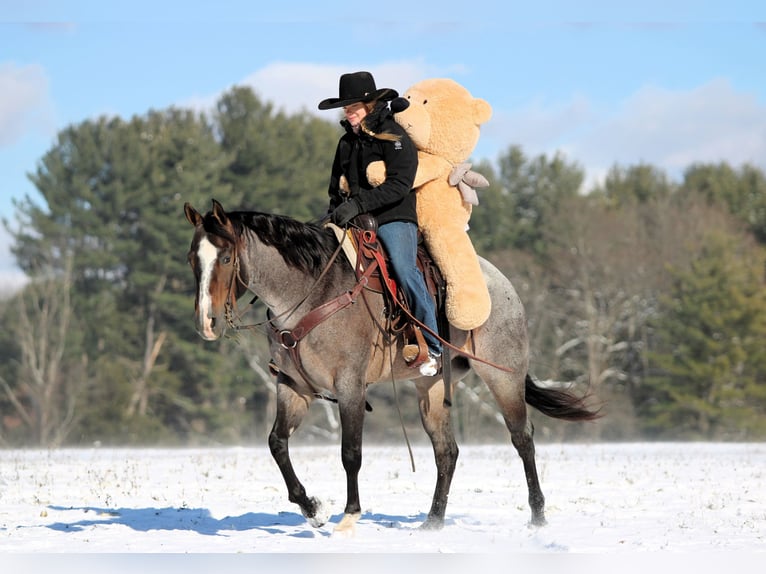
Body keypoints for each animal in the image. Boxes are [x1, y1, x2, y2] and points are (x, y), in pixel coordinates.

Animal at [183, 198, 600, 533]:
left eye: (225, 257)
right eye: (192, 260)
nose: (207, 323)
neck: (311, 293)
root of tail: (503, 284)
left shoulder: (350, 386)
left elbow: (350, 453)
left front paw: (350, 514)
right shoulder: (293, 386)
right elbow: (277, 444)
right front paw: (312, 509)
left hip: (503, 375)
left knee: (522, 438)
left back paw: (538, 517)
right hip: (431, 388)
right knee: (447, 452)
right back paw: (433, 522)